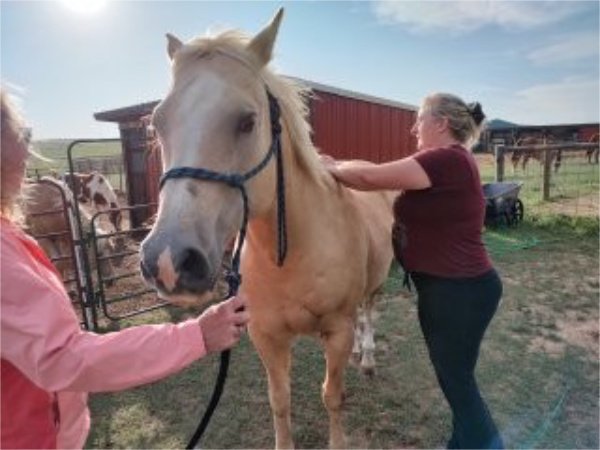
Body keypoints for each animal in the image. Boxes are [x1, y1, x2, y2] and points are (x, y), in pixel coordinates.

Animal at [139, 8, 394, 448]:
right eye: (157, 124)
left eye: (247, 121)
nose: (170, 261)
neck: (290, 256)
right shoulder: (266, 336)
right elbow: (280, 401)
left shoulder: (336, 332)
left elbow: (332, 396)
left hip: (375, 286)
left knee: (369, 314)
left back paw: (367, 357)